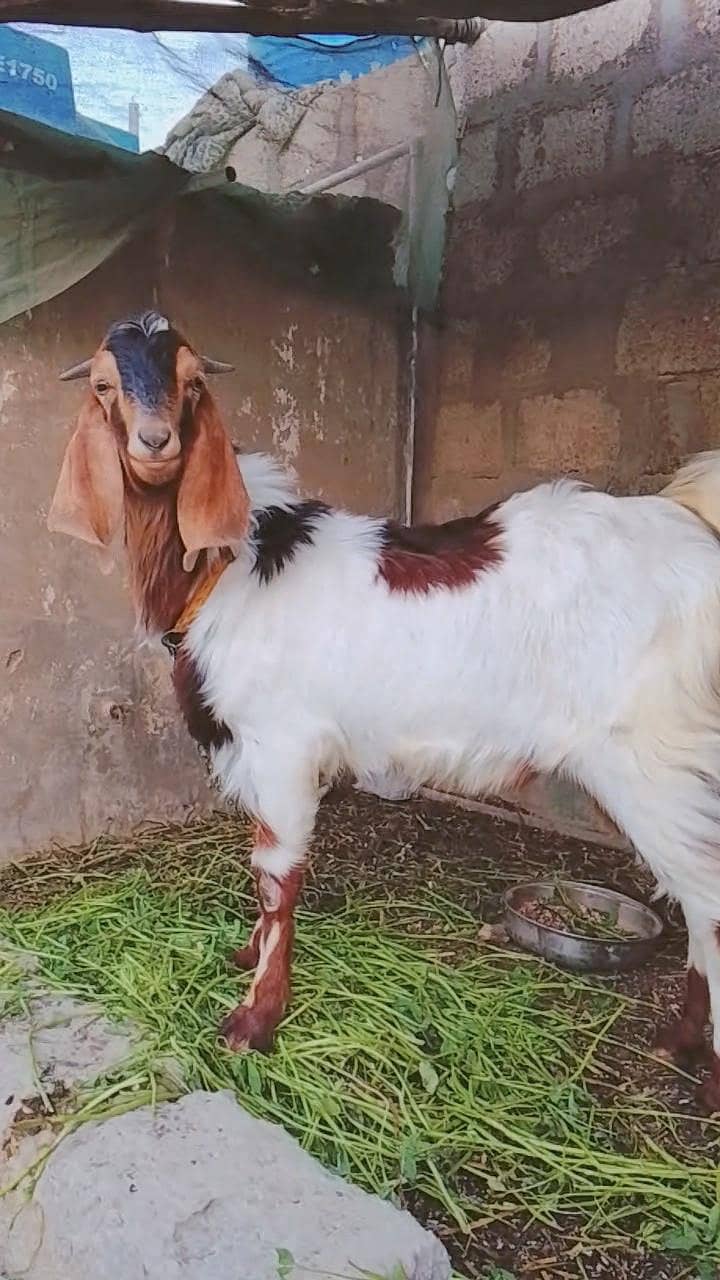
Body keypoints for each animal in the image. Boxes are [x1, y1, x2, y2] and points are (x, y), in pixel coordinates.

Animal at [49, 311, 720, 1111]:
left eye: (193, 383)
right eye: (103, 385)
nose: (155, 442)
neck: (232, 565)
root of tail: (693, 525)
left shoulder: (283, 744)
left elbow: (278, 875)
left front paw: (256, 1020)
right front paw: (244, 956)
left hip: (657, 759)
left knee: (709, 897)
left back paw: (696, 1061)